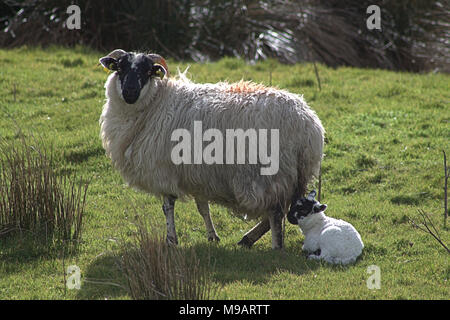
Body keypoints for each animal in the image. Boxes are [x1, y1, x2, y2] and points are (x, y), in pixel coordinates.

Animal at [98, 49, 326, 250]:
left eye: (147, 72)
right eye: (120, 68)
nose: (129, 92)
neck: (156, 101)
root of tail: (307, 125)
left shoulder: (163, 170)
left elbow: (167, 207)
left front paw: (171, 240)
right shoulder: (198, 174)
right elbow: (203, 208)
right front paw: (212, 236)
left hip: (269, 175)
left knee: (276, 213)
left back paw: (274, 246)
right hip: (297, 174)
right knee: (285, 208)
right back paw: (248, 239)